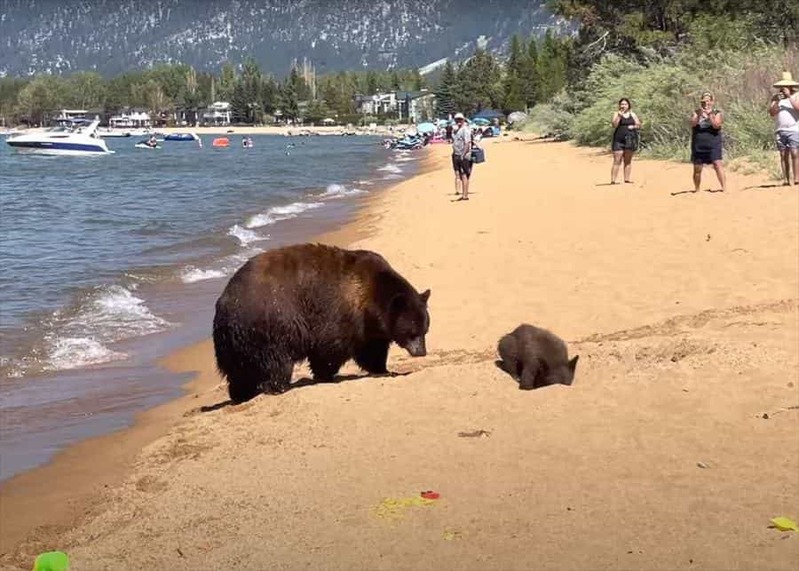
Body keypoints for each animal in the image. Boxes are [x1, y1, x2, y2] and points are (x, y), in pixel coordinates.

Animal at [212, 242, 432, 402]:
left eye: (425, 329)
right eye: (413, 331)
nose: (421, 352)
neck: (371, 298)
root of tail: (225, 303)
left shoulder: (369, 327)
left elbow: (372, 349)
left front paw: (382, 369)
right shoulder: (339, 312)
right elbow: (330, 348)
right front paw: (325, 375)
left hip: (232, 344)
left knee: (239, 372)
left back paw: (241, 394)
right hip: (271, 324)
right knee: (276, 362)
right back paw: (277, 387)